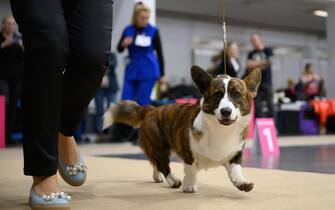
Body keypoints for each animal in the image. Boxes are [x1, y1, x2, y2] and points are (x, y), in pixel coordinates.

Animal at [103, 65, 262, 192]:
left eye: (237, 94)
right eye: (217, 95)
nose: (226, 111)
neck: (221, 130)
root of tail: (151, 109)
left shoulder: (235, 155)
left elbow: (236, 171)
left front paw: (242, 183)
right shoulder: (188, 153)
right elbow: (191, 170)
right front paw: (189, 185)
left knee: (156, 163)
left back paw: (157, 176)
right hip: (159, 146)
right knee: (163, 164)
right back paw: (173, 181)